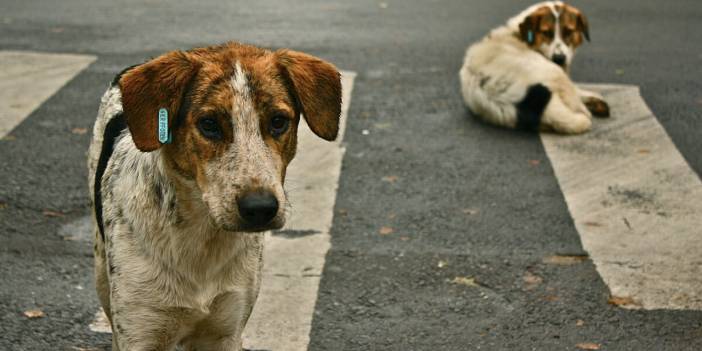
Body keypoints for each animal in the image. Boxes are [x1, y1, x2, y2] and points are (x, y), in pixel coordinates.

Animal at [86, 42, 346, 350]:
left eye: (278, 121)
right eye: (209, 124)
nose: (260, 208)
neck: (202, 236)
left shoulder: (226, 329)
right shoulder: (140, 331)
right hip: (102, 272)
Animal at [462, 0, 612, 135]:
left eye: (568, 32)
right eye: (546, 33)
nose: (559, 58)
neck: (519, 35)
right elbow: (575, 90)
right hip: (553, 72)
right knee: (575, 103)